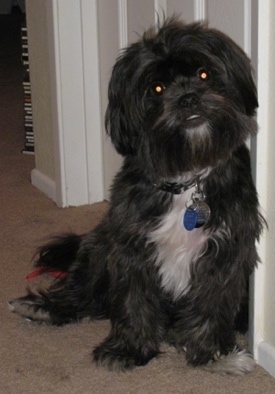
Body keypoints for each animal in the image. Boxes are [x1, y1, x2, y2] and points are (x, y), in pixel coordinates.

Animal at [9, 19, 266, 376]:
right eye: (156, 88)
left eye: (204, 73)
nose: (188, 98)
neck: (186, 178)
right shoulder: (130, 246)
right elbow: (134, 301)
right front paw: (129, 349)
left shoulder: (226, 250)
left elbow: (211, 305)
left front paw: (212, 354)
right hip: (98, 245)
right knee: (82, 290)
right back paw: (45, 307)